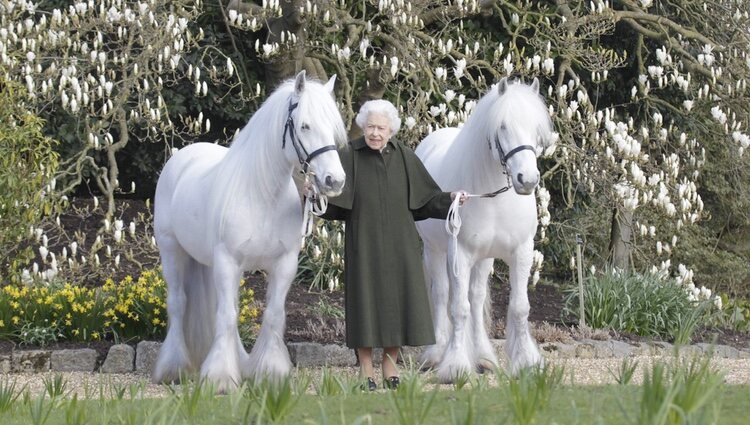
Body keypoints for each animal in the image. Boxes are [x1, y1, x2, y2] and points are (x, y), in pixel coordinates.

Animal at [153, 70, 346, 390]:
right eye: (305, 125)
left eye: (332, 128)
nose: (335, 180)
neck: (262, 194)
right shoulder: (228, 261)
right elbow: (227, 316)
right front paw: (220, 377)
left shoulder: (284, 264)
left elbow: (272, 314)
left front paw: (270, 371)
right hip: (172, 251)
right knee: (178, 303)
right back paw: (173, 368)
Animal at [418, 78, 552, 382]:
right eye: (502, 126)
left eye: (536, 127)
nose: (527, 180)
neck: (494, 197)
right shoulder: (460, 254)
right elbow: (458, 309)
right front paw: (455, 366)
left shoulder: (522, 252)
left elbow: (519, 307)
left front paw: (526, 362)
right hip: (435, 251)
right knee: (442, 295)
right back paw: (436, 354)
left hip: (484, 259)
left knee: (477, 299)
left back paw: (483, 357)